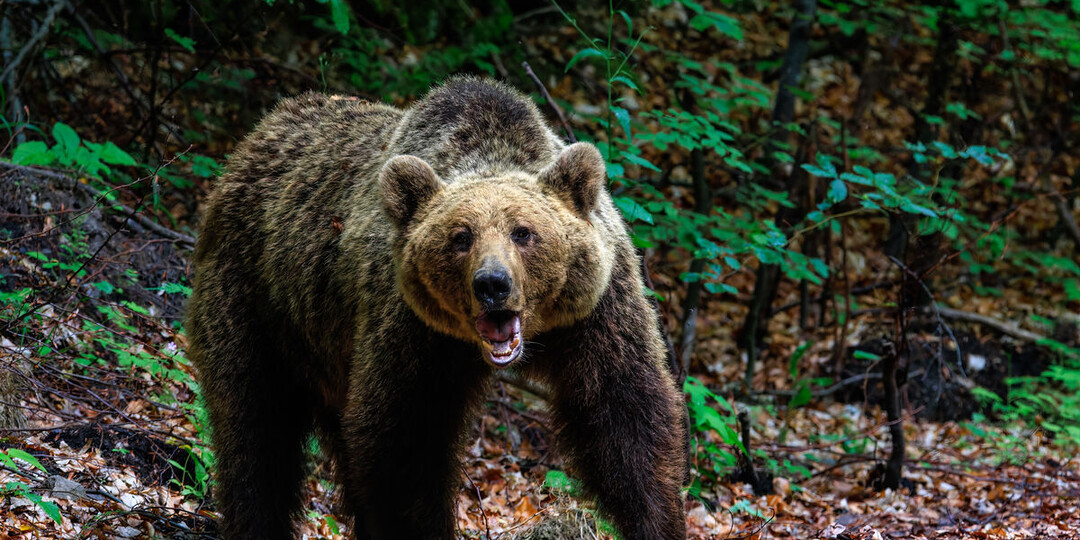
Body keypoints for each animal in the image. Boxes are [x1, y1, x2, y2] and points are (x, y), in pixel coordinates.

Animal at [185, 77, 687, 540]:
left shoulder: (595, 313)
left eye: (523, 232)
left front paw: (656, 520)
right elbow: (406, 446)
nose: (492, 284)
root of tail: (258, 135)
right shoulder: (413, 330)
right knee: (255, 430)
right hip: (255, 301)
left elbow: (625, 418)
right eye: (461, 237)